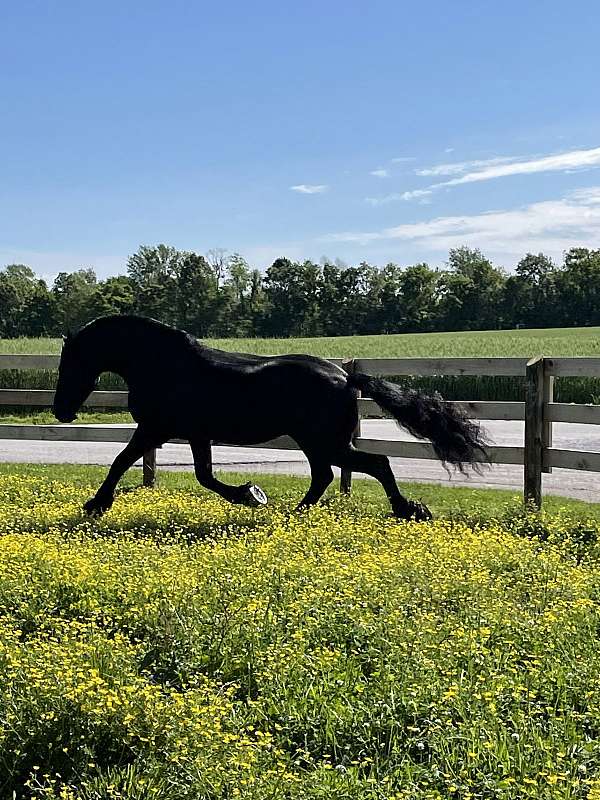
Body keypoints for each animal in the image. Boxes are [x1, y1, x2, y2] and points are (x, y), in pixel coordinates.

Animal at [52, 316, 488, 520]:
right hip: (316, 443)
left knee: (374, 464)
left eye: (70, 363)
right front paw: (249, 494)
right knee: (327, 475)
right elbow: (203, 475)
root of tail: (346, 376)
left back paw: (406, 510)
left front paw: (96, 504)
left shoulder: (157, 429)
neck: (163, 366)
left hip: (323, 442)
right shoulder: (190, 434)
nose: (61, 410)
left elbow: (121, 461)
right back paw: (297, 513)